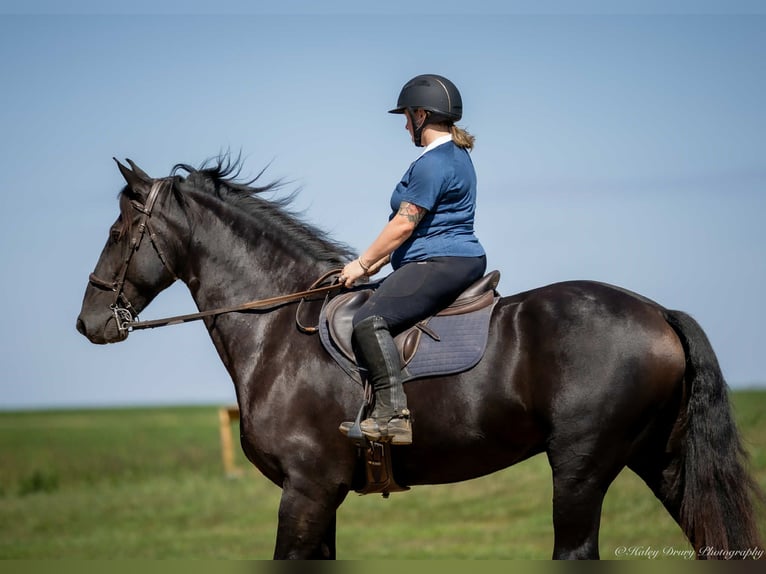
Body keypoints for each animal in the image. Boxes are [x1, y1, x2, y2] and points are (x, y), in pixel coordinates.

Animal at [76, 156, 762, 559]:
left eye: (116, 233)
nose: (88, 323)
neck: (276, 334)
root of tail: (657, 312)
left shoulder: (305, 490)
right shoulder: (321, 497)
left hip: (580, 470)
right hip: (662, 461)